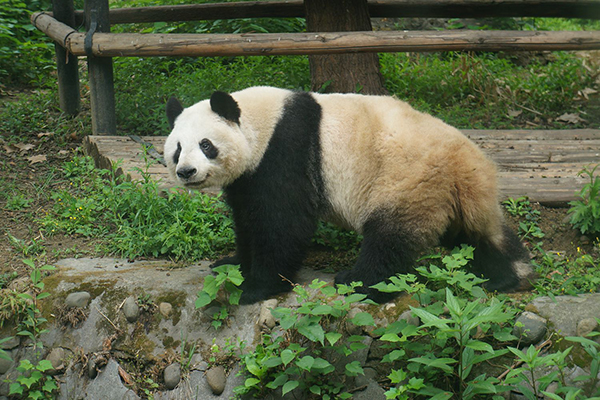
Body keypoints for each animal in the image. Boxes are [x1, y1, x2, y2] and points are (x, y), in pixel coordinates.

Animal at [162, 86, 532, 304]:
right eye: (178, 148)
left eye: (206, 145)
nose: (186, 172)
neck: (260, 121)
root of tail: (467, 163)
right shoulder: (249, 175)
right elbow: (247, 218)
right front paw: (233, 263)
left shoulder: (287, 149)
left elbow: (283, 222)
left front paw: (257, 288)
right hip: (452, 195)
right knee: (476, 236)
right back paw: (506, 277)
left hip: (408, 179)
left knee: (390, 238)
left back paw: (358, 282)